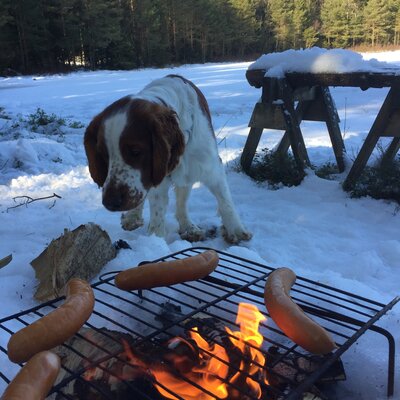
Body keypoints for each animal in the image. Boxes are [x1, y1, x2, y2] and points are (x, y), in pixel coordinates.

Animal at [84, 74, 251, 243]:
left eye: (136, 151)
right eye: (104, 154)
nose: (111, 202)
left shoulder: (210, 166)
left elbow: (225, 201)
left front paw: (236, 230)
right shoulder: (156, 177)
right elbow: (158, 212)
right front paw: (155, 241)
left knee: (182, 200)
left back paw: (188, 227)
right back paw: (133, 217)